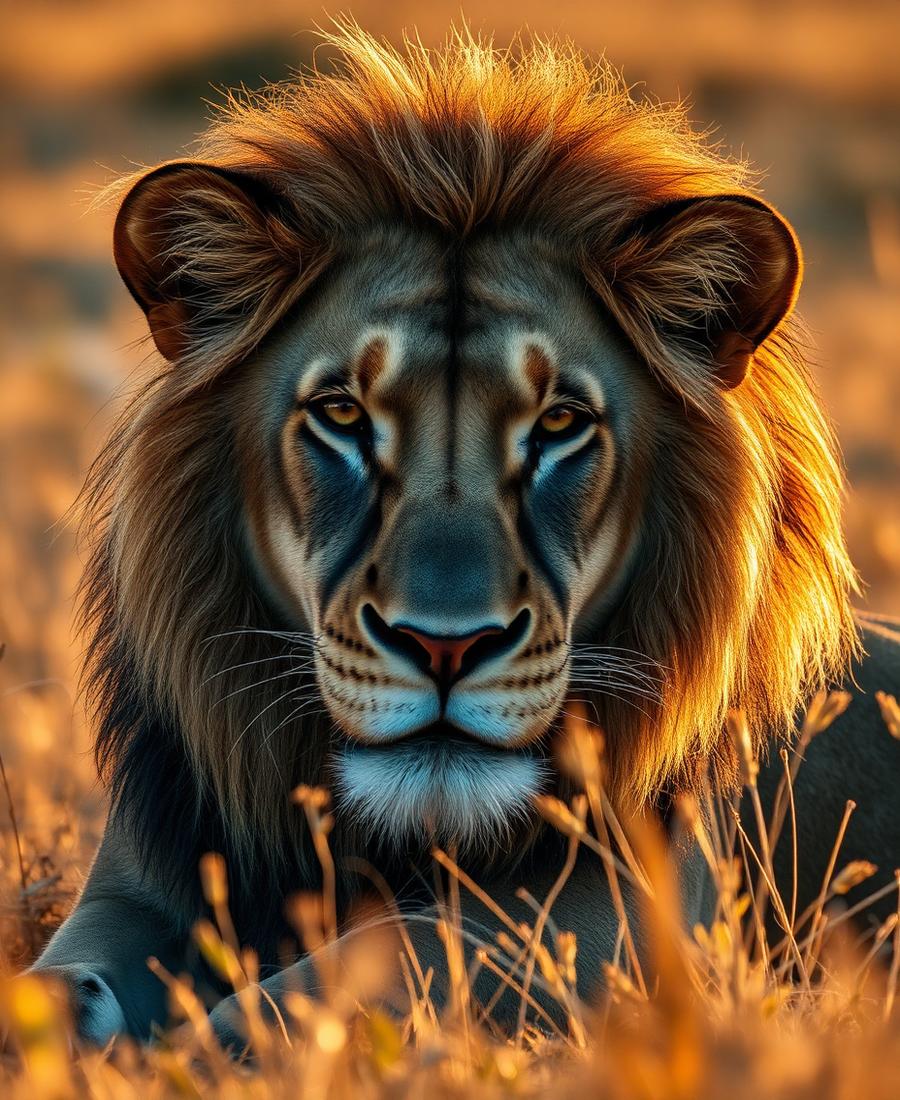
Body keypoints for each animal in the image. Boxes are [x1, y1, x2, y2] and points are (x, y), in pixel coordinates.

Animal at [32, 24, 899, 1046]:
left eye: (560, 423)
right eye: (342, 413)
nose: (445, 647)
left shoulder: (611, 922)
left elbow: (353, 974)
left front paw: (197, 1047)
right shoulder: (132, 891)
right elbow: (54, 981)